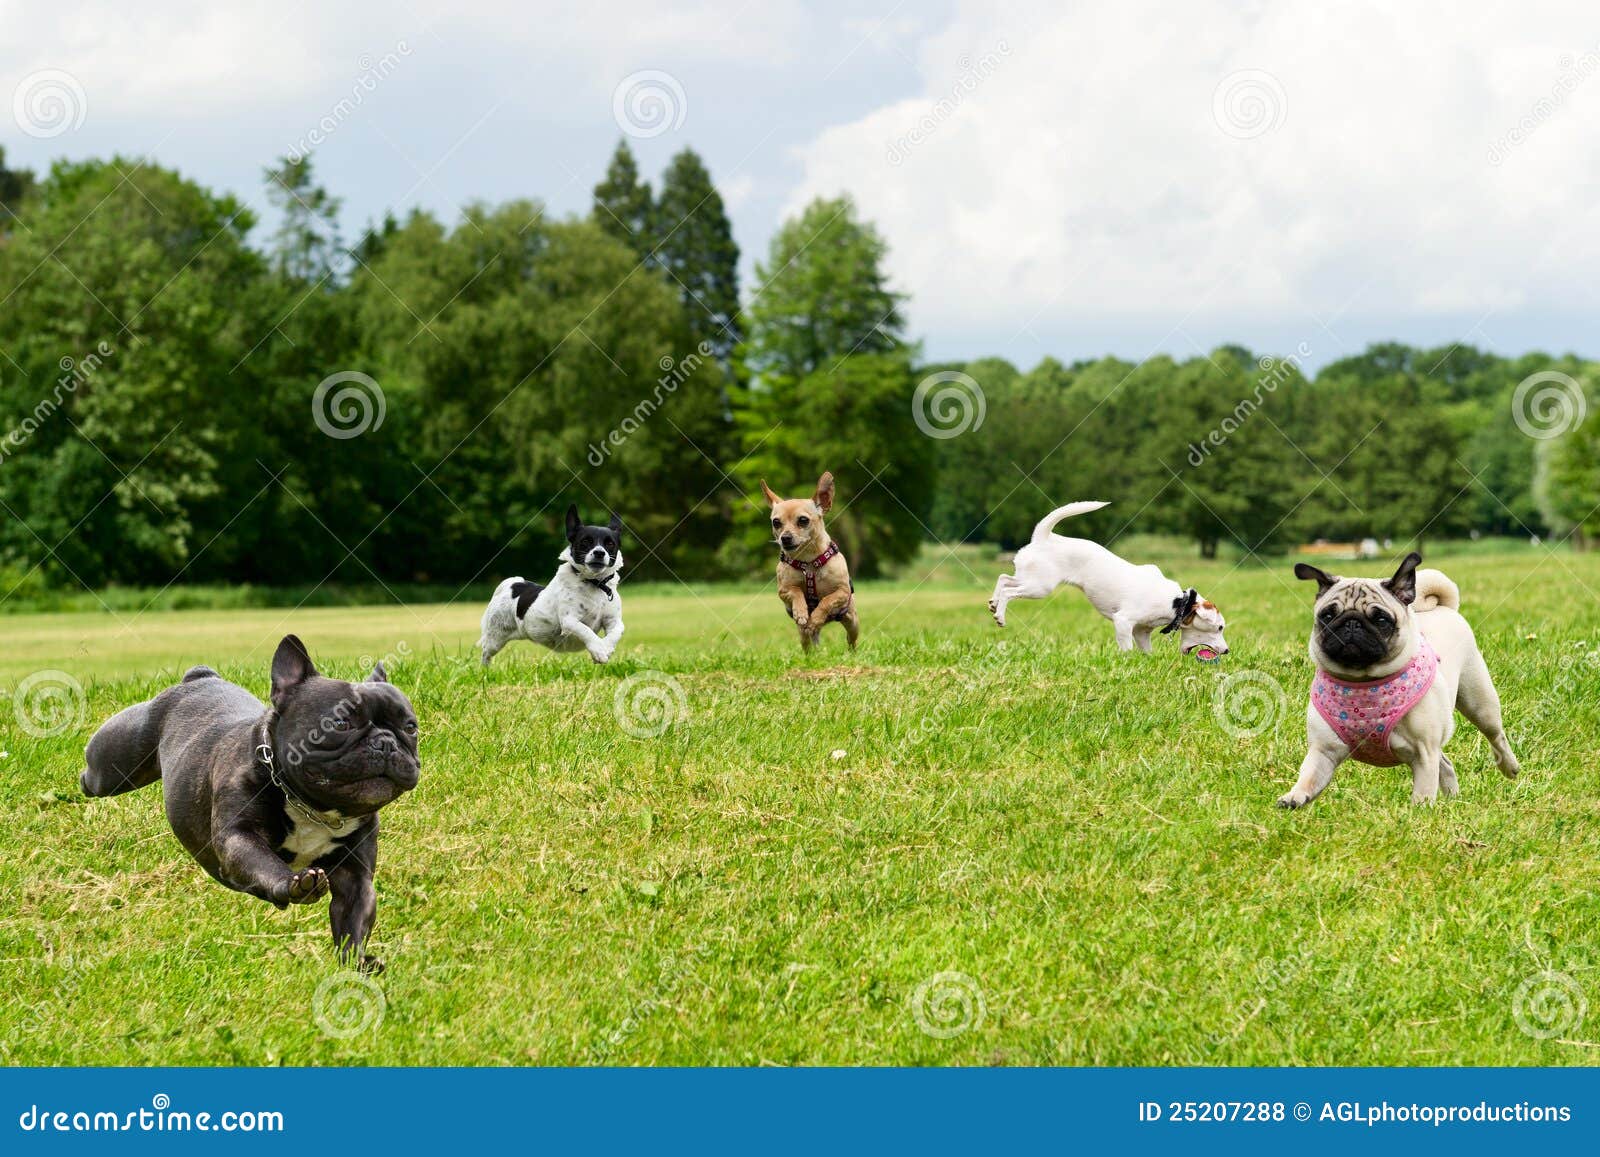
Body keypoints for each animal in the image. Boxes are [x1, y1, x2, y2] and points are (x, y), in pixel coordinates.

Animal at [473, 508, 624, 668]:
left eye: (610, 544)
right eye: (585, 541)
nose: (599, 552)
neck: (595, 583)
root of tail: (514, 583)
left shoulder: (614, 621)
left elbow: (615, 633)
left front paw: (605, 648)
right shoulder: (569, 620)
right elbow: (586, 630)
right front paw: (599, 650)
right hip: (495, 637)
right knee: (486, 653)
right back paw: (485, 670)